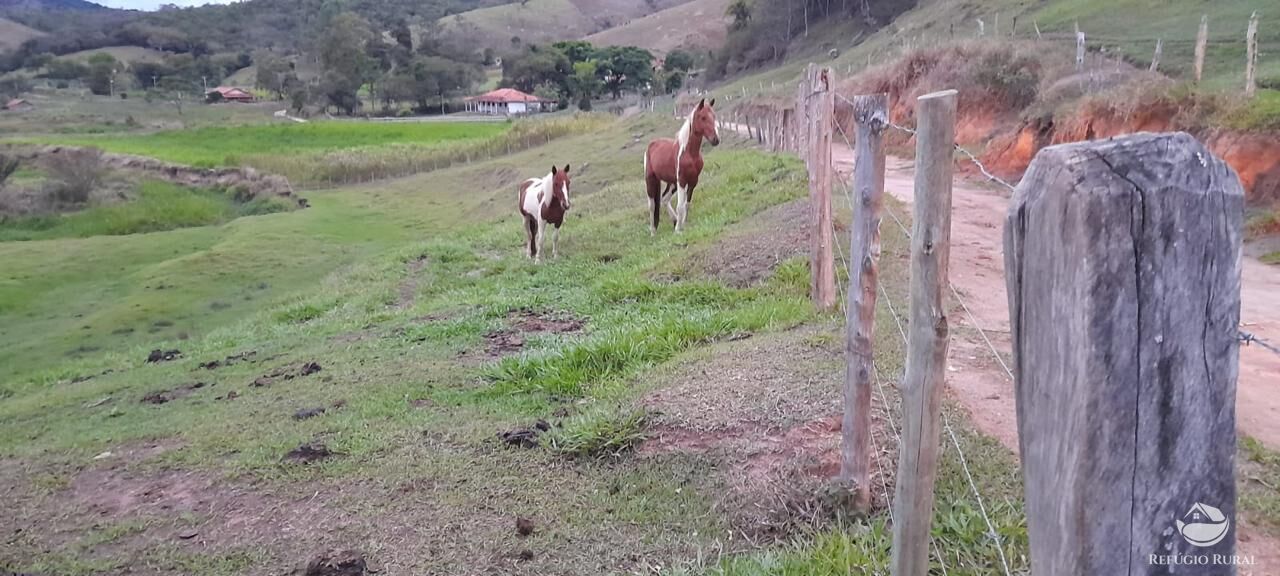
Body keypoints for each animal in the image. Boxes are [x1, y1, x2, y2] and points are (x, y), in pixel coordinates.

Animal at [640, 97, 721, 232]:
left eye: (714, 116)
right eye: (703, 117)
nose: (716, 139)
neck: (689, 154)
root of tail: (651, 145)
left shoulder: (693, 181)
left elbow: (686, 204)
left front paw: (682, 224)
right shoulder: (682, 181)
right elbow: (680, 206)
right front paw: (678, 230)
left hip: (672, 183)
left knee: (664, 198)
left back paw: (674, 220)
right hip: (651, 180)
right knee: (652, 205)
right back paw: (653, 231)